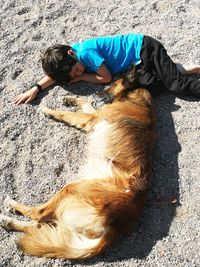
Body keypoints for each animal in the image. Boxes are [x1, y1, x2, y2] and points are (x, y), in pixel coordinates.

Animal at [0, 65, 156, 260]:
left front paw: (49, 110)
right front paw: (70, 98)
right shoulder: (94, 115)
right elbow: (85, 104)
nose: (98, 93)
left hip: (71, 189)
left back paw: (11, 206)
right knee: (41, 226)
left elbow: (67, 113)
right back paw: (9, 222)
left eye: (114, 83)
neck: (137, 98)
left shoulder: (92, 119)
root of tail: (113, 228)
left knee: (38, 215)